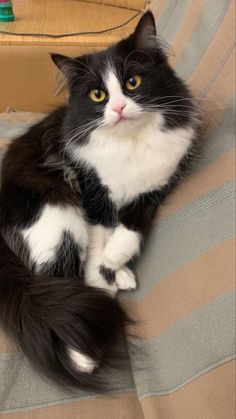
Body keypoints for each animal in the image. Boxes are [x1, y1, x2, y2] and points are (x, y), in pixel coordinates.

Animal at [0, 12, 198, 390]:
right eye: (98, 94)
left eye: (133, 82)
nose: (118, 108)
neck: (130, 142)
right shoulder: (92, 194)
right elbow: (98, 248)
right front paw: (103, 282)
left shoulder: (153, 189)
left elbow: (129, 229)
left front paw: (116, 261)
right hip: (58, 220)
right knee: (56, 284)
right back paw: (82, 352)